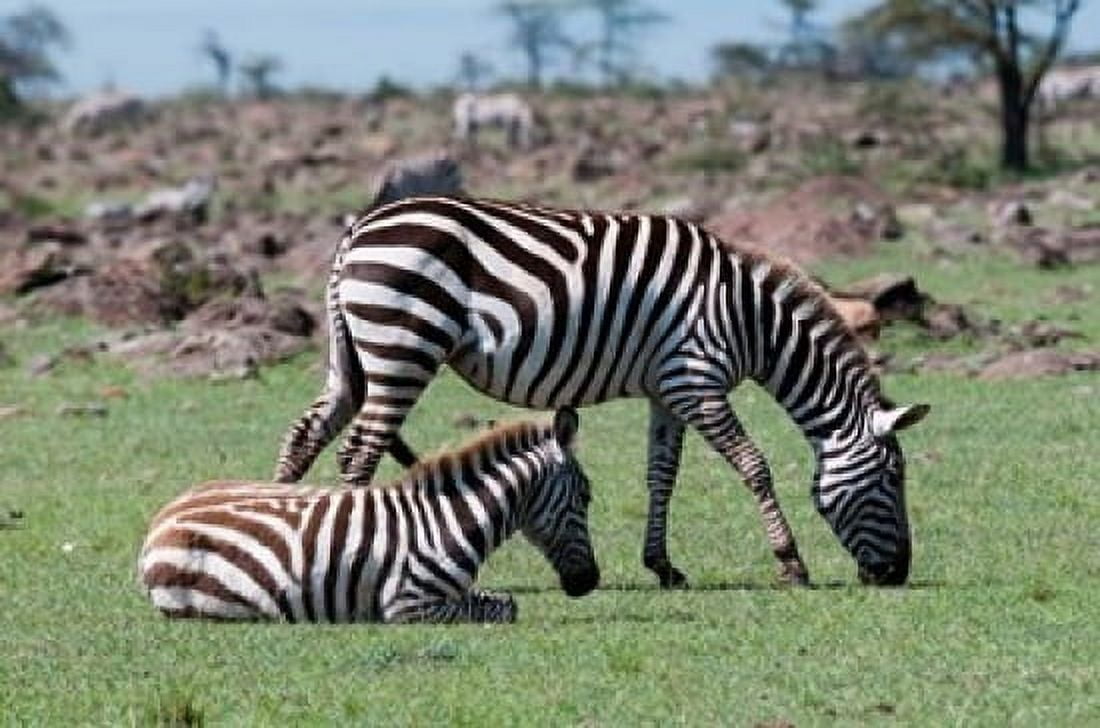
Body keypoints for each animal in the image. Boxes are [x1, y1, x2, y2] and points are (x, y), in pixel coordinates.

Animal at [141, 409, 598, 623]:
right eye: (586, 496)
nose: (589, 582)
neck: (450, 520)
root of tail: (164, 516)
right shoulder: (408, 603)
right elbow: (501, 609)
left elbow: (503, 602)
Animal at [274, 196, 930, 588]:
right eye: (893, 478)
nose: (897, 573)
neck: (750, 320)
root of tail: (358, 228)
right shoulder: (697, 379)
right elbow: (753, 465)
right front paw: (791, 563)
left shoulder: (669, 389)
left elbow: (661, 475)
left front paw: (663, 566)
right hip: (403, 345)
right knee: (358, 451)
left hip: (355, 356)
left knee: (307, 433)